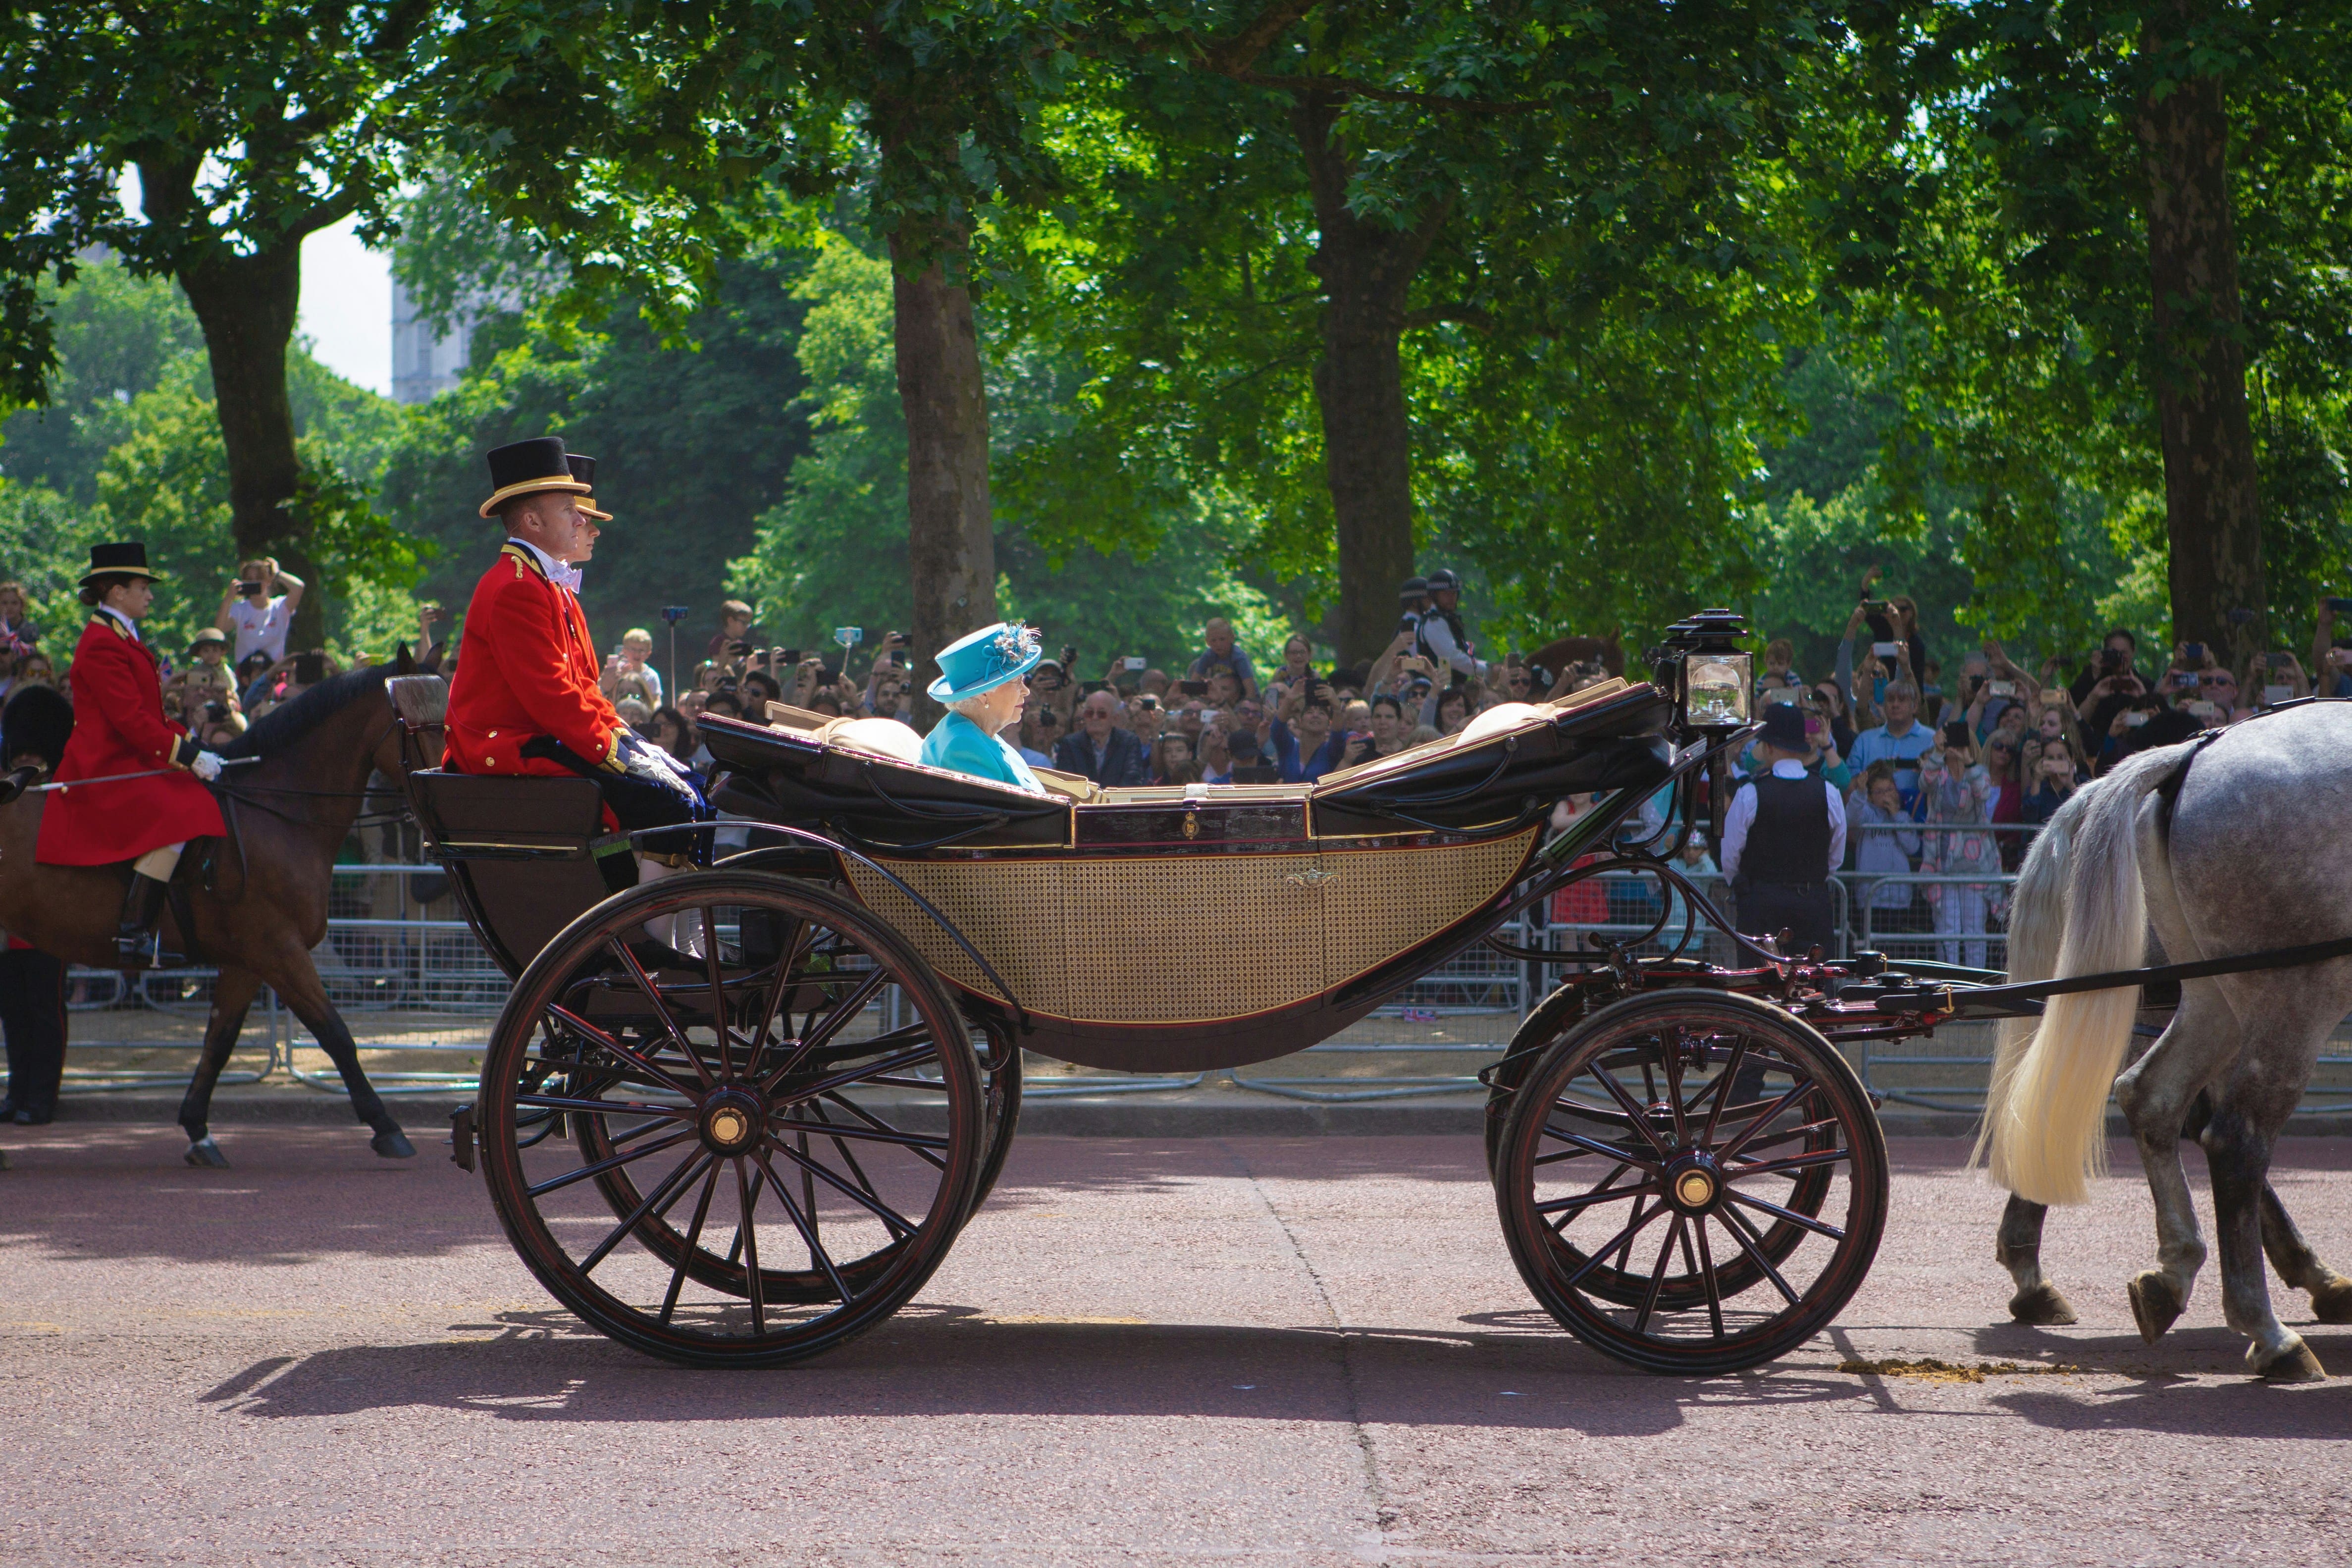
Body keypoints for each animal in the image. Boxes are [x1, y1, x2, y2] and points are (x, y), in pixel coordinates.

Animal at [0, 658, 444, 1166]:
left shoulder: (248, 962)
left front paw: (199, 1131)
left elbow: (220, 1040)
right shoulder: (278, 951)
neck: (276, 812)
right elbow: (335, 1034)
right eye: (417, 725)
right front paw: (387, 1127)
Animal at [1976, 710, 2352, 1382]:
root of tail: (2186, 757)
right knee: (2231, 1134)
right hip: (2289, 994)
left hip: (2211, 998)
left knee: (2148, 1100)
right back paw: (2271, 1329)